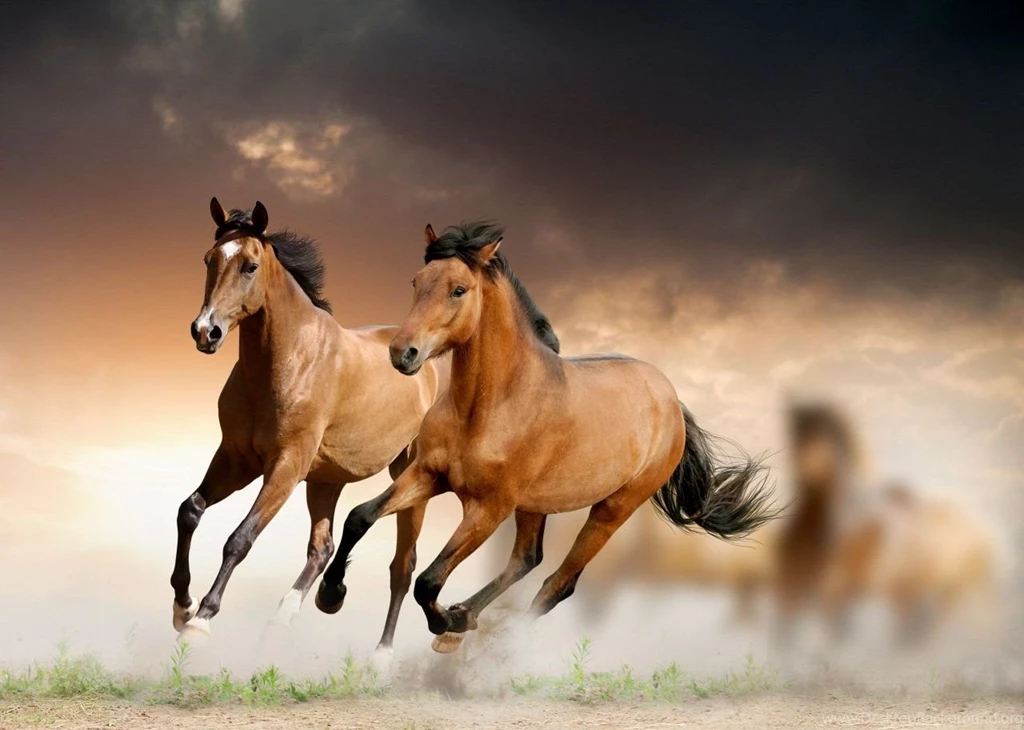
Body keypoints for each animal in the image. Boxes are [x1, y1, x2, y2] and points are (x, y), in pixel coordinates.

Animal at [171, 198, 441, 656]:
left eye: (249, 266)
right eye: (209, 259)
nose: (206, 332)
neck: (289, 360)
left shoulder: (285, 467)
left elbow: (240, 538)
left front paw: (201, 621)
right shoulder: (237, 460)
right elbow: (189, 511)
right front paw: (181, 605)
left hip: (408, 476)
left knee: (402, 568)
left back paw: (381, 656)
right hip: (326, 480)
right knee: (322, 548)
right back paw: (291, 615)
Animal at [314, 221, 777, 653]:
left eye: (459, 290)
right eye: (416, 281)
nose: (402, 353)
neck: (489, 406)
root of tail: (671, 400)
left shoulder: (489, 508)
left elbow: (428, 580)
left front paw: (446, 621)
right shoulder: (428, 475)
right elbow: (360, 517)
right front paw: (330, 595)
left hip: (612, 509)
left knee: (558, 583)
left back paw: (479, 641)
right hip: (535, 505)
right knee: (527, 558)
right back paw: (466, 617)